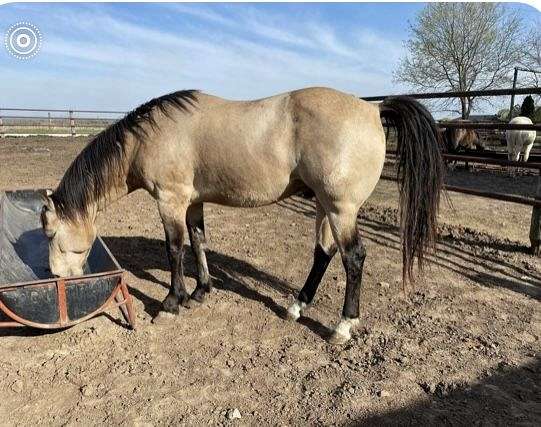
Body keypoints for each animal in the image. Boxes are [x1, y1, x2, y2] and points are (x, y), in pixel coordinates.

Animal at [39, 88, 442, 344]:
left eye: (50, 234)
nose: (55, 277)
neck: (148, 136)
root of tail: (372, 109)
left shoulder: (170, 201)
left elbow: (174, 248)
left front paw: (171, 303)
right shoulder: (193, 202)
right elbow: (198, 242)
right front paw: (200, 292)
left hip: (341, 209)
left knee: (353, 257)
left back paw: (342, 327)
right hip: (325, 207)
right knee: (324, 253)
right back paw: (296, 307)